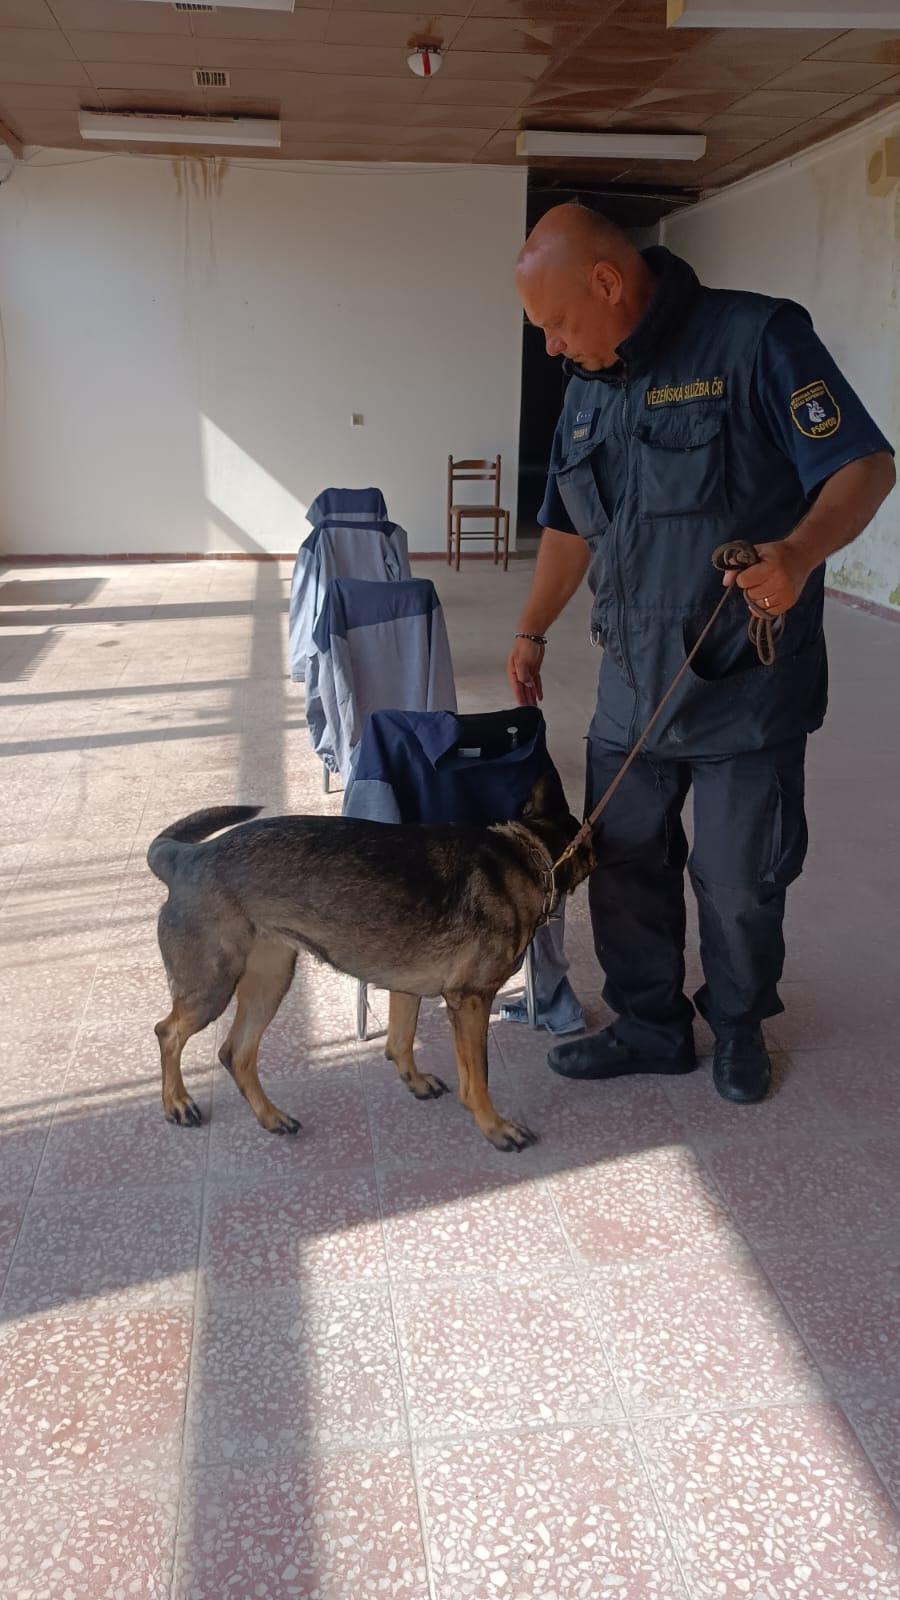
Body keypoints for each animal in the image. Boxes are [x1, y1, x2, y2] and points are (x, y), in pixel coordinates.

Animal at [147, 769, 594, 1152]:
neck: (529, 854)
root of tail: (185, 857)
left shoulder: (407, 989)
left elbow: (400, 1041)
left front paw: (415, 1082)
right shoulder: (470, 1002)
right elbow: (477, 1079)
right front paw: (495, 1127)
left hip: (269, 984)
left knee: (235, 1053)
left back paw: (271, 1118)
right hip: (212, 989)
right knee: (168, 1032)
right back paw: (177, 1103)